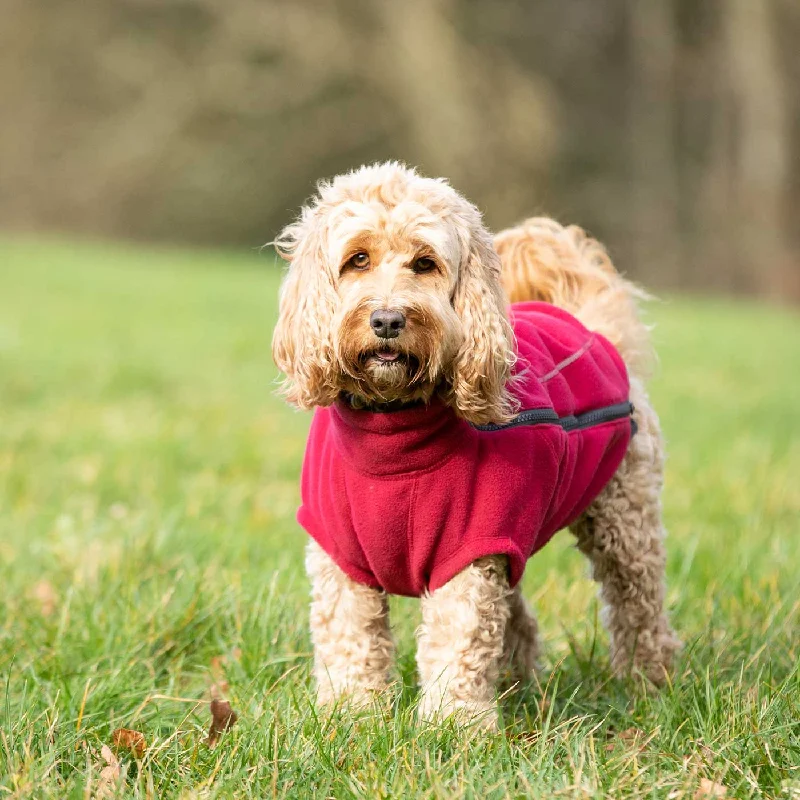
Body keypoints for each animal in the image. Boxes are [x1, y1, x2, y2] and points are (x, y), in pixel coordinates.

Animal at [272, 162, 680, 732]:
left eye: (425, 263)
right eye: (358, 259)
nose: (388, 320)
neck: (394, 436)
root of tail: (596, 333)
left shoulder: (468, 548)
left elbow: (457, 637)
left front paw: (452, 725)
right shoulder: (341, 553)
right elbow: (350, 636)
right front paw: (351, 715)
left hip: (623, 521)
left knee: (637, 605)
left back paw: (648, 683)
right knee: (519, 618)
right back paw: (517, 684)